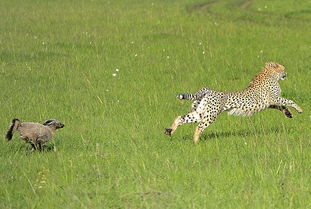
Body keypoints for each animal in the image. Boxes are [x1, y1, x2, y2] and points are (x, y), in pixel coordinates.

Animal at [165, 62, 304, 144]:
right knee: (199, 127)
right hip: (211, 115)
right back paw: (195, 142)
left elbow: (281, 106)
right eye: (283, 69)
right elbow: (289, 100)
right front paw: (299, 109)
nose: (286, 74)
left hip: (199, 112)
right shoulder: (273, 98)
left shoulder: (270, 102)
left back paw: (170, 130)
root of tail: (207, 89)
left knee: (180, 117)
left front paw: (288, 113)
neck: (270, 74)